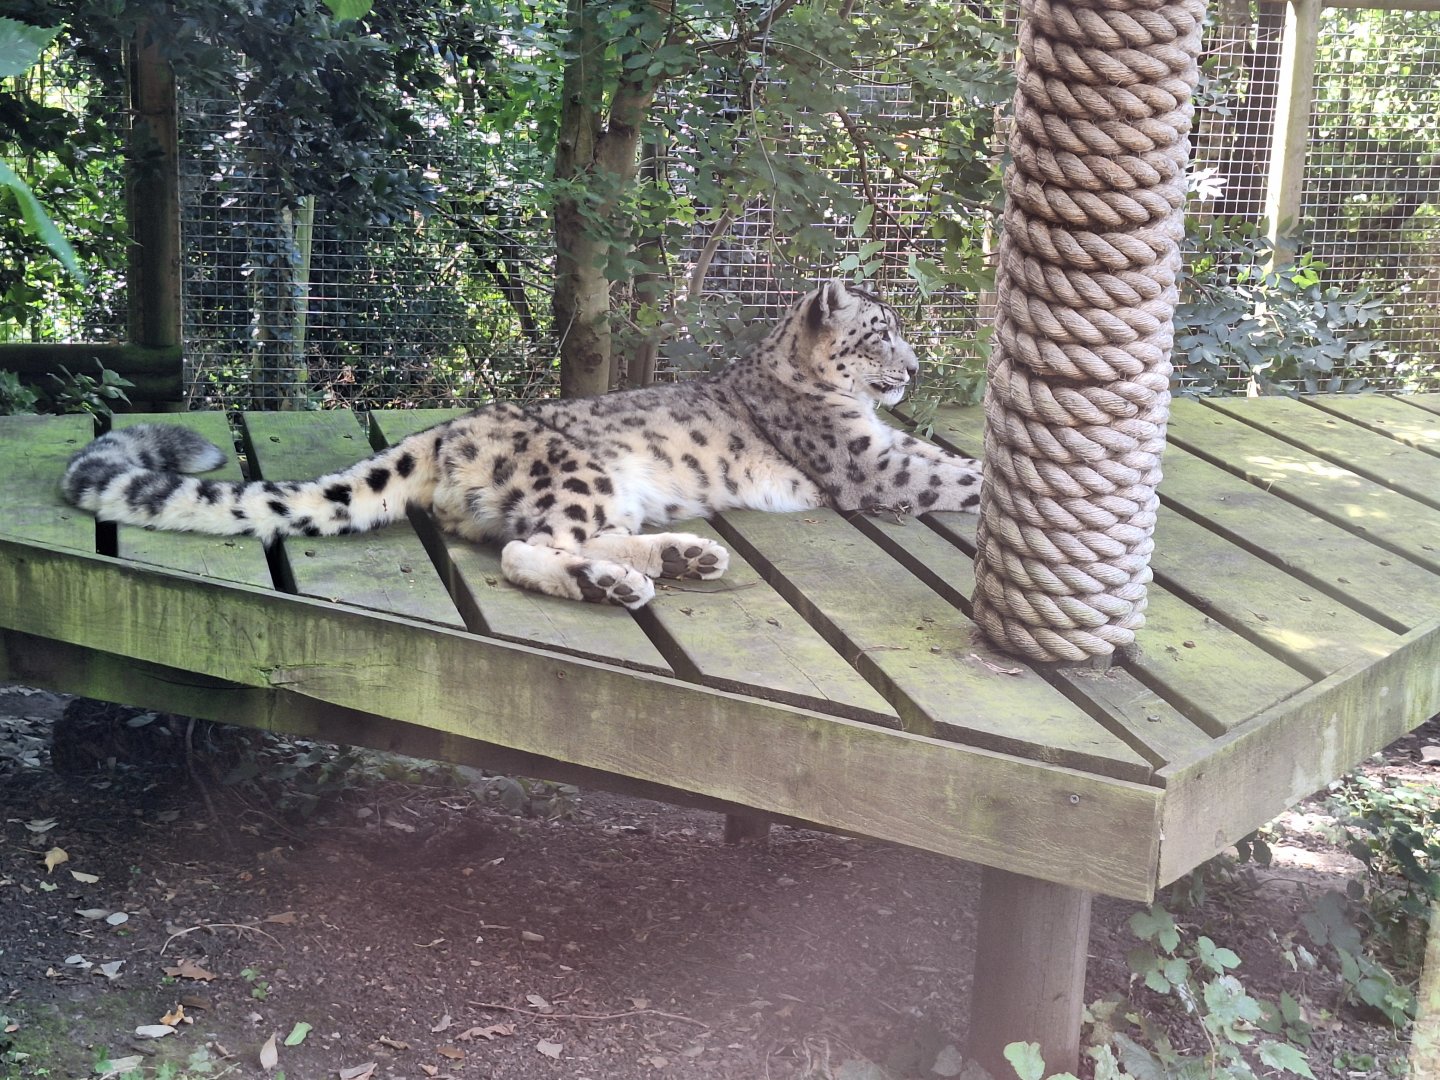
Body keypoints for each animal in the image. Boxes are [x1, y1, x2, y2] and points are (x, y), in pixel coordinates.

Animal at [61, 279, 984, 610]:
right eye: (879, 335)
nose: (912, 368)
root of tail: (442, 431)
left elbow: (954, 463)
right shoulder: (874, 462)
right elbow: (962, 475)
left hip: (608, 493)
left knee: (554, 538)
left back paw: (679, 558)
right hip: (575, 473)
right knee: (525, 550)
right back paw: (616, 584)